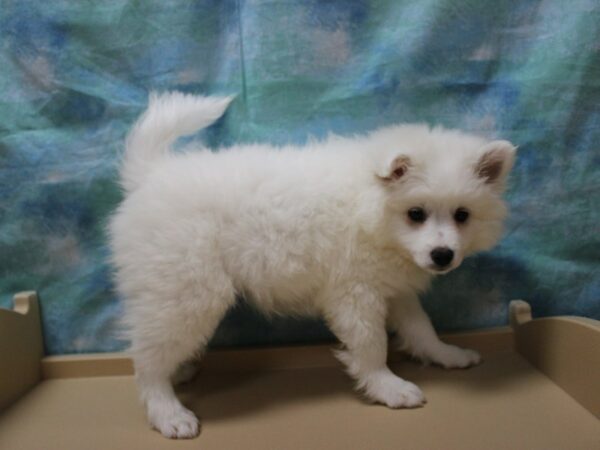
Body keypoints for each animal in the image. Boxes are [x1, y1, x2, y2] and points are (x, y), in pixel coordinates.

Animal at [110, 92, 512, 440]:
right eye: (416, 213)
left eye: (462, 215)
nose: (443, 255)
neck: (369, 207)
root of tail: (151, 174)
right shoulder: (356, 294)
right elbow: (372, 344)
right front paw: (389, 388)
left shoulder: (394, 288)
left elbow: (421, 328)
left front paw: (447, 355)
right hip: (186, 290)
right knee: (147, 359)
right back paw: (169, 413)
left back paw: (179, 373)